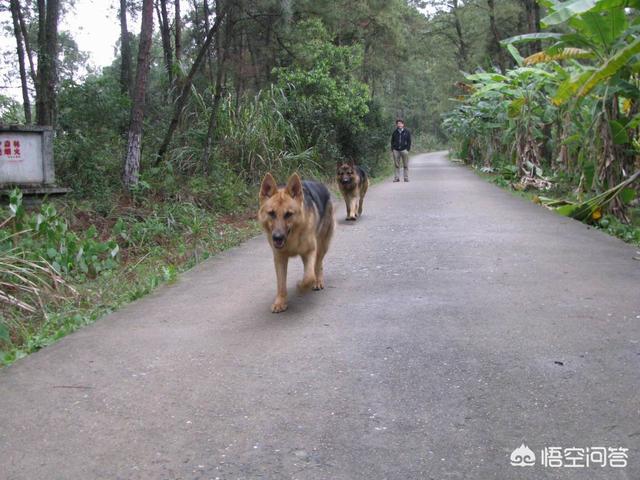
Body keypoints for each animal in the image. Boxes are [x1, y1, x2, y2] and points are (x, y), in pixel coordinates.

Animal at [258, 173, 336, 316]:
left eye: (288, 214)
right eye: (271, 213)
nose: (277, 237)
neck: (292, 237)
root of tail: (320, 184)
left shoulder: (310, 251)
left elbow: (309, 277)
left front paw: (301, 286)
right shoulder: (280, 259)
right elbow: (281, 284)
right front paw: (280, 302)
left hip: (322, 246)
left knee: (318, 264)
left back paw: (318, 280)